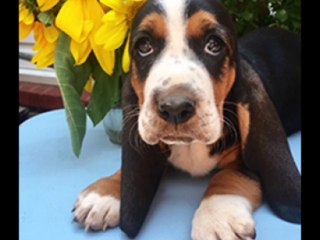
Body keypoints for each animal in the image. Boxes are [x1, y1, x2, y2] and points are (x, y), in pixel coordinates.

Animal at [72, 0, 300, 238]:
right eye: (144, 46)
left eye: (214, 45)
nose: (175, 107)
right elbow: (127, 169)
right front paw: (103, 194)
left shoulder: (247, 160)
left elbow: (228, 176)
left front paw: (216, 216)